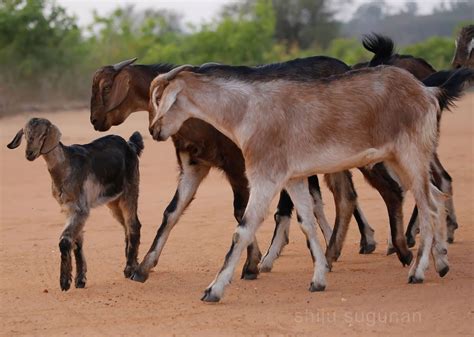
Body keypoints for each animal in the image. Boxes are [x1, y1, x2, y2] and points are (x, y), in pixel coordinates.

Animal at [6, 117, 144, 288]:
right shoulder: (69, 208)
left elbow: (65, 241)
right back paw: (133, 263)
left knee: (133, 225)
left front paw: (65, 281)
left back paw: (130, 269)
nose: (29, 153)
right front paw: (80, 280)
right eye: (25, 134)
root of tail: (130, 145)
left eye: (43, 134)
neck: (66, 166)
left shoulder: (80, 209)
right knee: (126, 226)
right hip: (113, 201)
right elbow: (77, 243)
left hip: (129, 191)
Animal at [90, 55, 386, 280]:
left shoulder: (237, 166)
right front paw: (143, 267)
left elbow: (241, 211)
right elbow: (171, 213)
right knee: (344, 197)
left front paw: (251, 263)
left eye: (106, 87)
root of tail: (345, 67)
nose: (94, 120)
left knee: (359, 193)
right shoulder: (193, 167)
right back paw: (333, 252)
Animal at [150, 62, 472, 300]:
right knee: (435, 197)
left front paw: (213, 289)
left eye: (160, 100)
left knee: (429, 206)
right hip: (400, 159)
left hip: (411, 155)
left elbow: (243, 229)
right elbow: (307, 222)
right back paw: (441, 262)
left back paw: (417, 272)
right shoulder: (294, 178)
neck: (247, 111)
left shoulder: (265, 176)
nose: (154, 131)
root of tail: (427, 91)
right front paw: (318, 278)